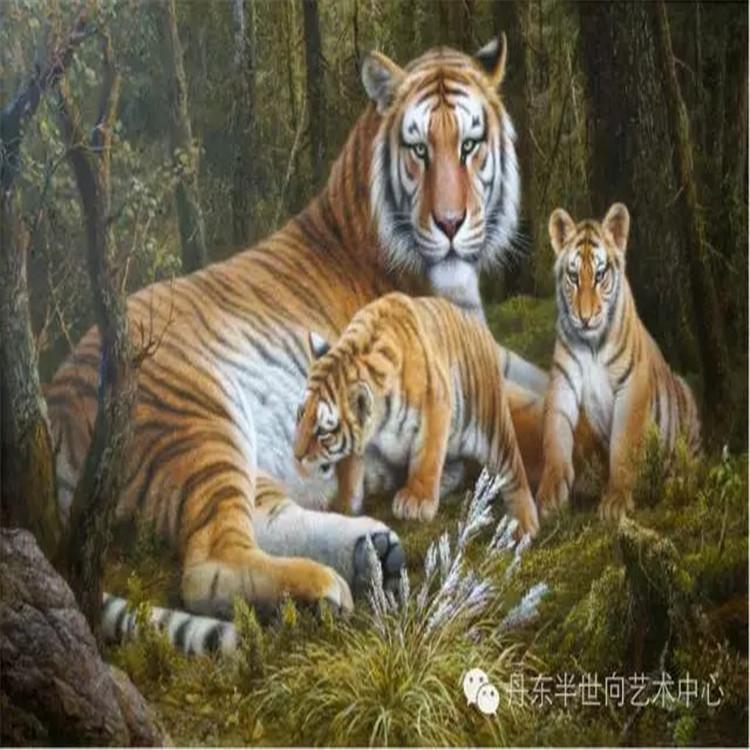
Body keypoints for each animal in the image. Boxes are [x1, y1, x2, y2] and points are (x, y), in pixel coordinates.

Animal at [293, 293, 540, 536]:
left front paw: (417, 501)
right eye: (300, 415)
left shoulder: (436, 403)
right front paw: (343, 507)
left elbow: (427, 455)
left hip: (492, 422)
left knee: (512, 471)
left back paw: (523, 526)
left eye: (323, 431)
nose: (296, 456)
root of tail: (477, 325)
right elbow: (349, 470)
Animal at [536, 203, 701, 522]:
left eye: (600, 275)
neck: (591, 344)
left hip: (686, 399)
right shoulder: (562, 383)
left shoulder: (631, 386)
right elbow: (554, 435)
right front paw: (551, 493)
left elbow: (624, 444)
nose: (585, 318)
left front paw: (616, 501)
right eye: (573, 276)